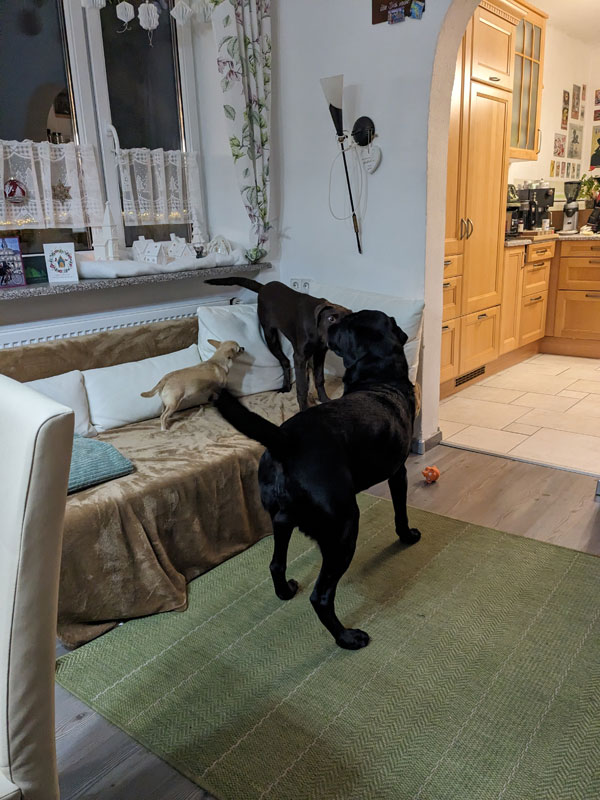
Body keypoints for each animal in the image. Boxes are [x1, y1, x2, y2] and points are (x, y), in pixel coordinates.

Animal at [204, 277, 349, 411]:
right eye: (330, 319)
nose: (339, 341)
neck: (316, 330)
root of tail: (264, 287)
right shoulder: (300, 358)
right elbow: (302, 387)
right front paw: (304, 409)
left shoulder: (320, 353)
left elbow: (319, 378)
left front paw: (324, 400)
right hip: (270, 336)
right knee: (285, 362)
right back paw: (286, 386)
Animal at [215, 310, 420, 649]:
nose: (331, 323)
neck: (379, 379)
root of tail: (285, 440)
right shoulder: (398, 471)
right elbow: (400, 512)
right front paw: (408, 536)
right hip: (345, 527)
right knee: (320, 597)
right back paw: (348, 637)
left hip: (281, 519)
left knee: (276, 564)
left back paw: (285, 591)